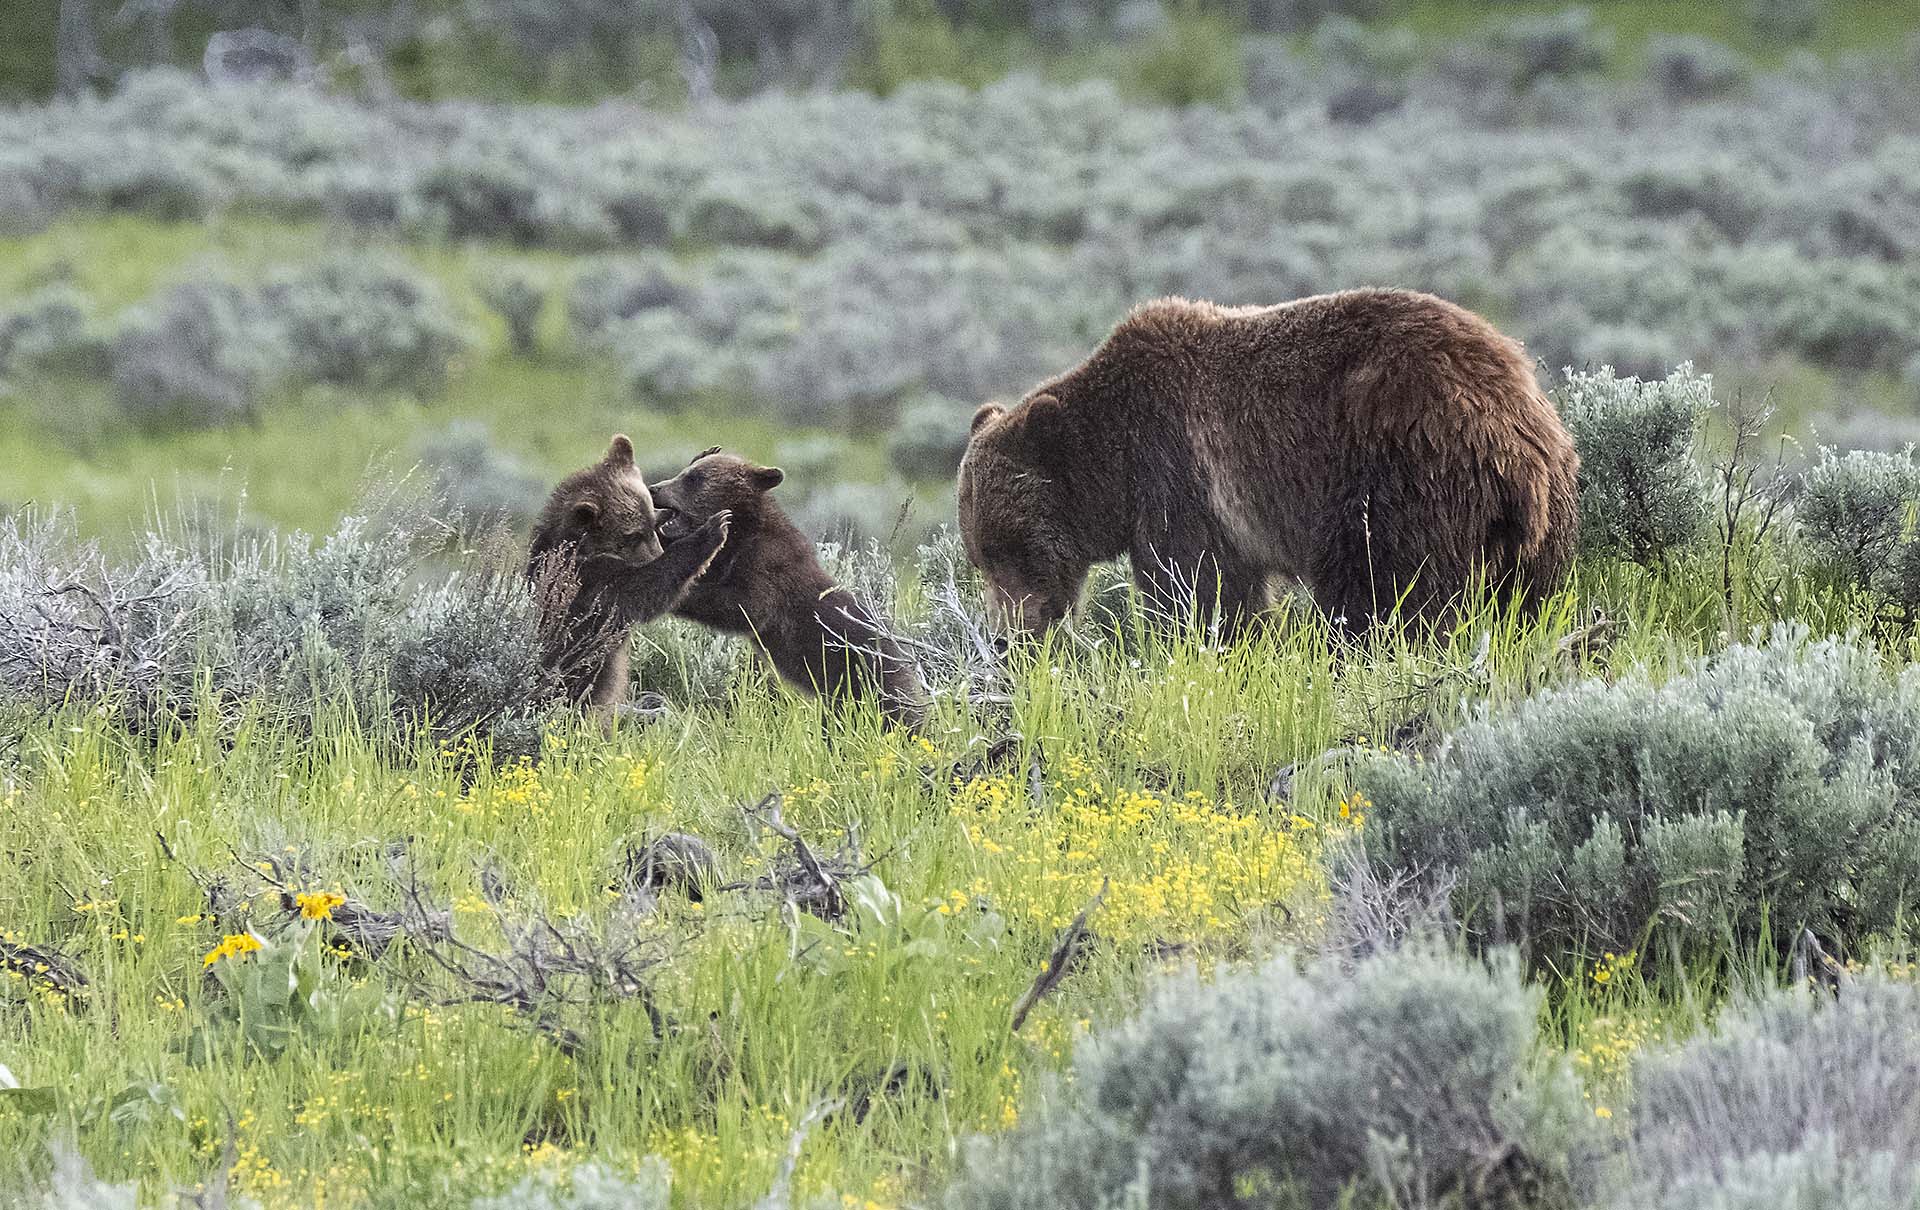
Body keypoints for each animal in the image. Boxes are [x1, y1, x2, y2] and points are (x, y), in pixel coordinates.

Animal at [529, 435, 729, 714]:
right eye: (632, 535)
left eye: (654, 522)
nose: (655, 553)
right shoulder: (590, 585)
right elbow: (641, 590)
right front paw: (712, 530)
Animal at [648, 445, 933, 729]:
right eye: (685, 472)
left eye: (694, 478)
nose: (655, 488)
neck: (745, 529)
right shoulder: (730, 558)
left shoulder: (768, 566)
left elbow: (744, 607)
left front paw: (682, 595)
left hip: (868, 683)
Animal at [956, 290, 1574, 641]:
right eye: (979, 555)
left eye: (1009, 547)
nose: (1008, 636)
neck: (1115, 466)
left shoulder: (1182, 473)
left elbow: (1194, 585)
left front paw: (1195, 642)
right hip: (1542, 512)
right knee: (1527, 592)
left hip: (1398, 475)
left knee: (1383, 586)